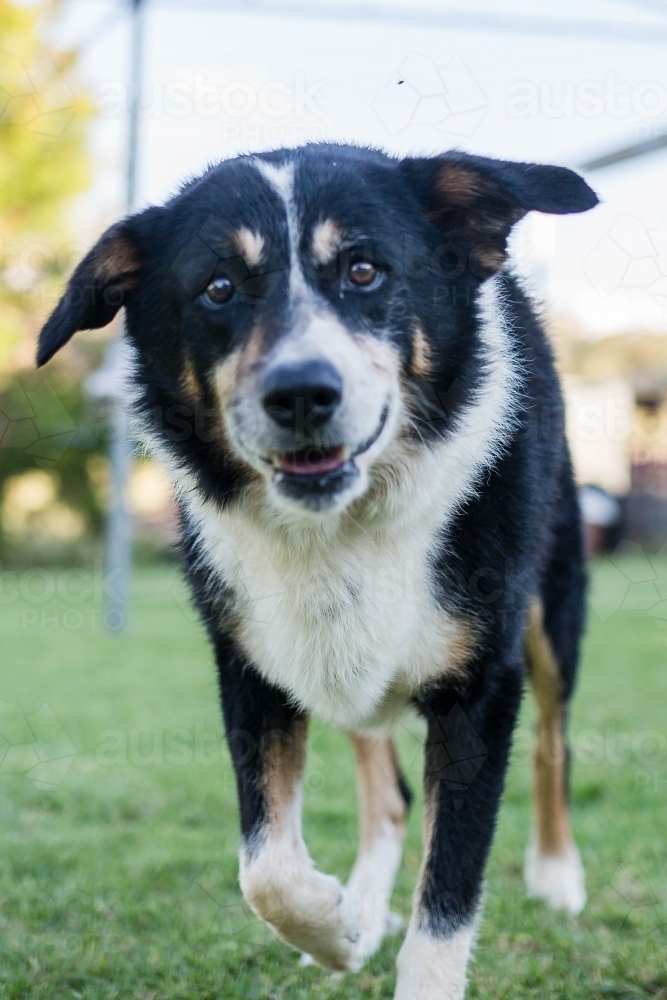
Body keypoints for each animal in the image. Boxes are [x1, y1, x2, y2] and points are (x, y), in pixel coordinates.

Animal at [36, 145, 600, 996]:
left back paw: (556, 874)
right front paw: (335, 930)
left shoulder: (478, 690)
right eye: (219, 287)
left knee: (552, 740)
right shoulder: (249, 663)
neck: (340, 522)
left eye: (364, 271)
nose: (301, 393)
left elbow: (447, 898)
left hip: (550, 604)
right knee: (387, 790)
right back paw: (362, 907)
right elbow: (264, 865)